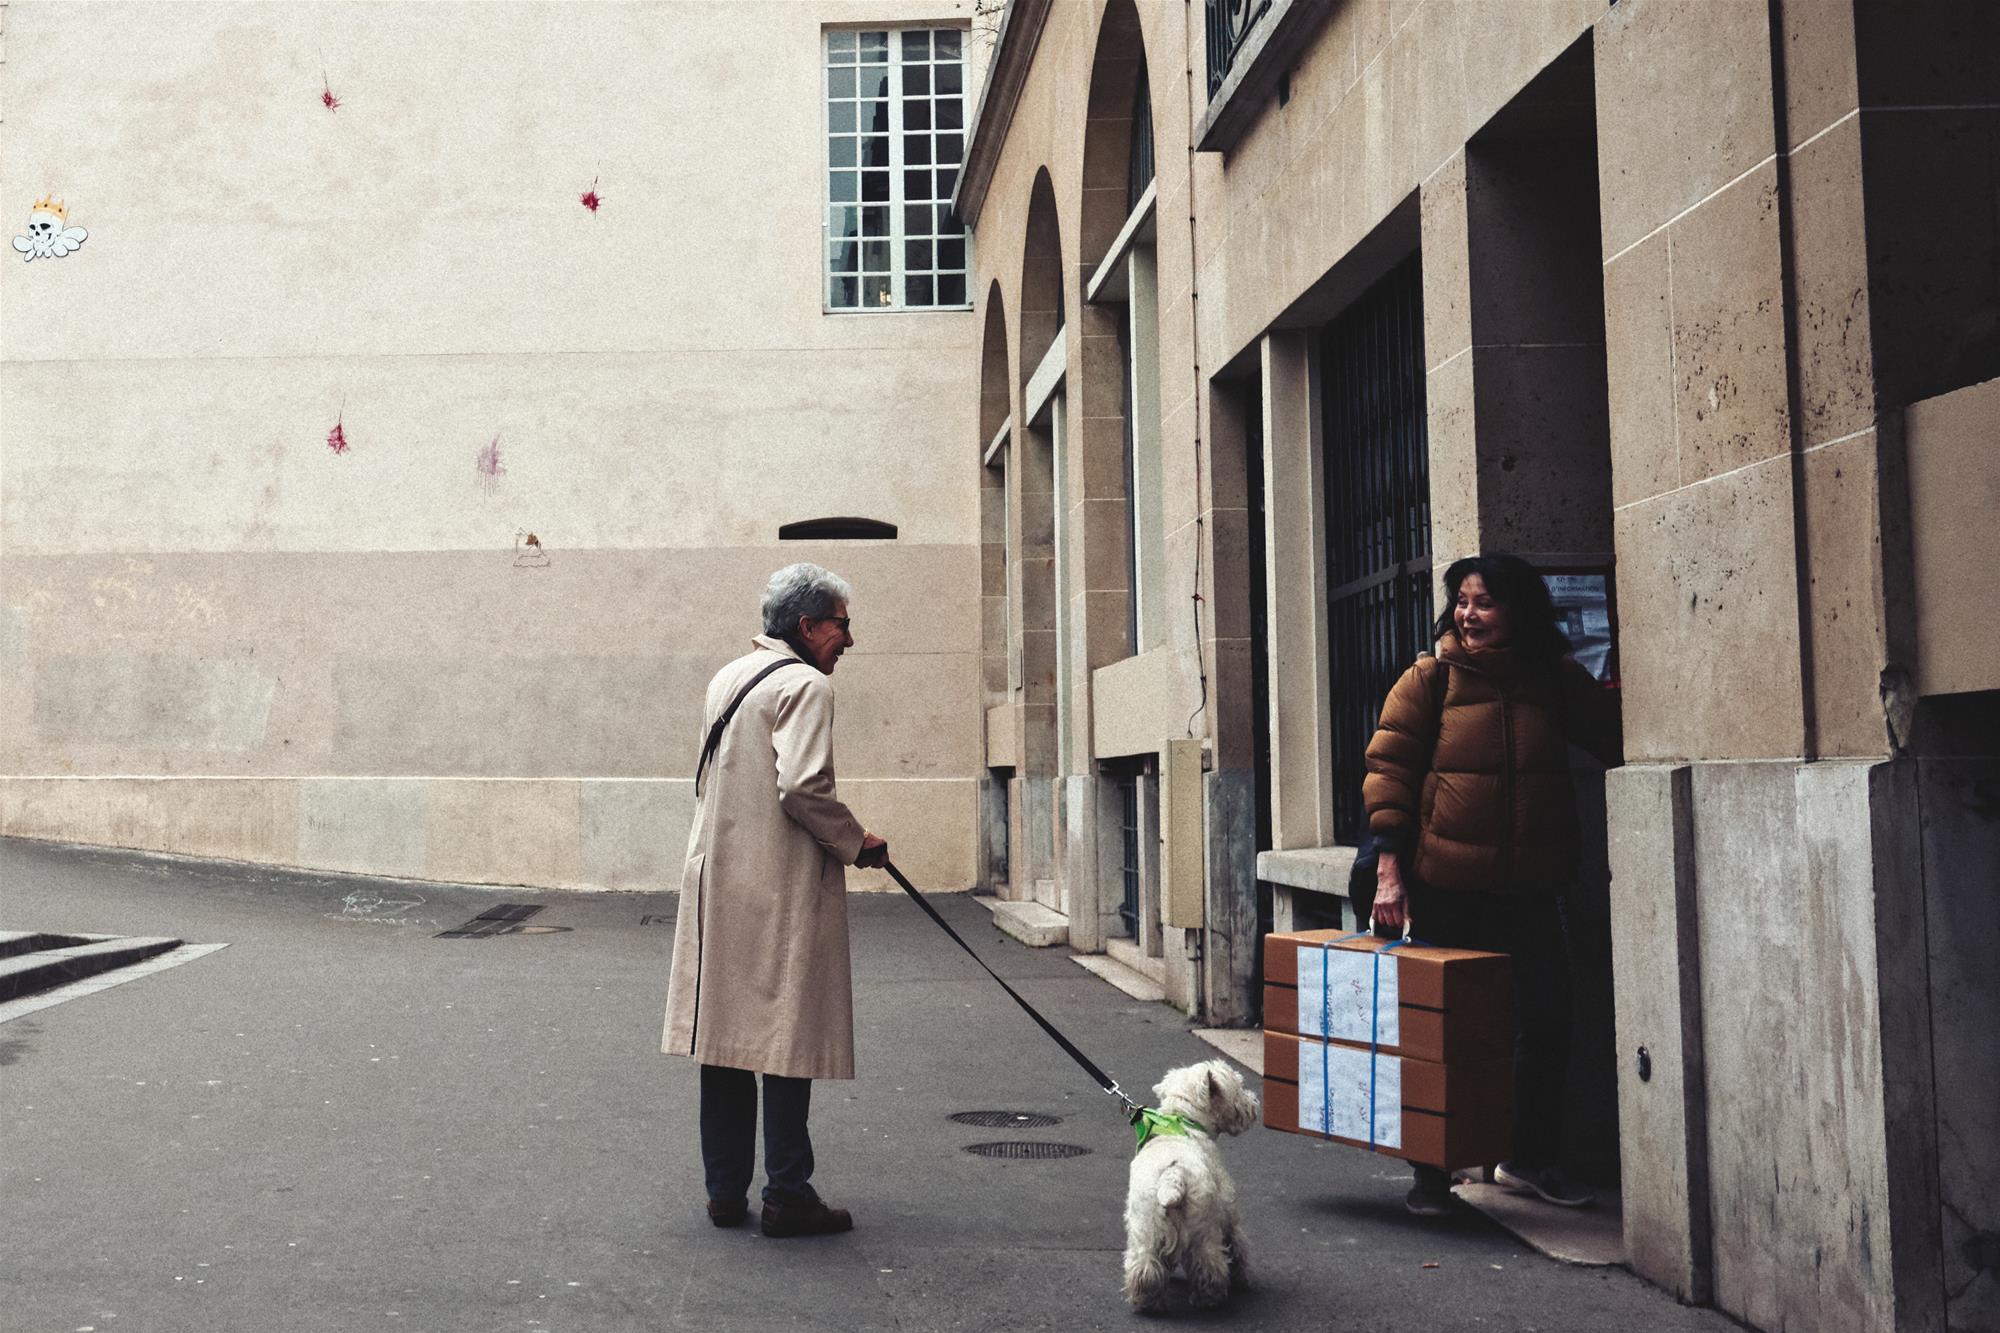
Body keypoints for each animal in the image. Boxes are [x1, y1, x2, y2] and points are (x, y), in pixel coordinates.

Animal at [1121, 1059, 1260, 1312]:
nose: (1255, 1103)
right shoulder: (1228, 1210)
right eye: (1238, 1087)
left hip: (1144, 1227)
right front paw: (1241, 1279)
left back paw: (1146, 1301)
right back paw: (1210, 1299)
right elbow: (1237, 1244)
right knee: (1209, 1264)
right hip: (1204, 1228)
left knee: (1144, 1267)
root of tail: (1173, 1174)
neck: (1185, 1121)